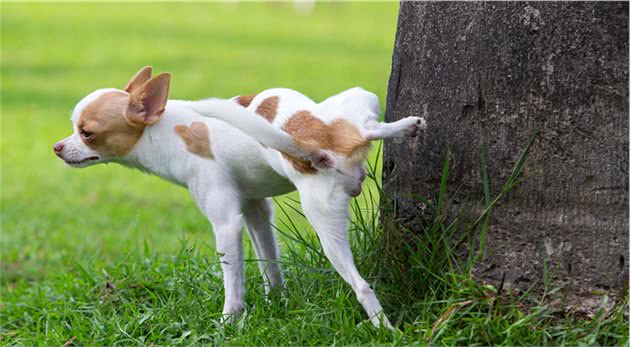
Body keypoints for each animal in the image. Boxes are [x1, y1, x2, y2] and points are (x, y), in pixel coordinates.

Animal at [54, 67, 428, 328]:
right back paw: (406, 126)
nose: (57, 147)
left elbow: (233, 283)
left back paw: (386, 331)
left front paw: (228, 324)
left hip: (321, 211)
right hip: (355, 110)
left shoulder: (226, 224)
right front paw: (277, 302)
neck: (165, 130)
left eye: (86, 133)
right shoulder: (256, 212)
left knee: (362, 286)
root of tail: (313, 146)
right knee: (368, 128)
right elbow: (269, 264)